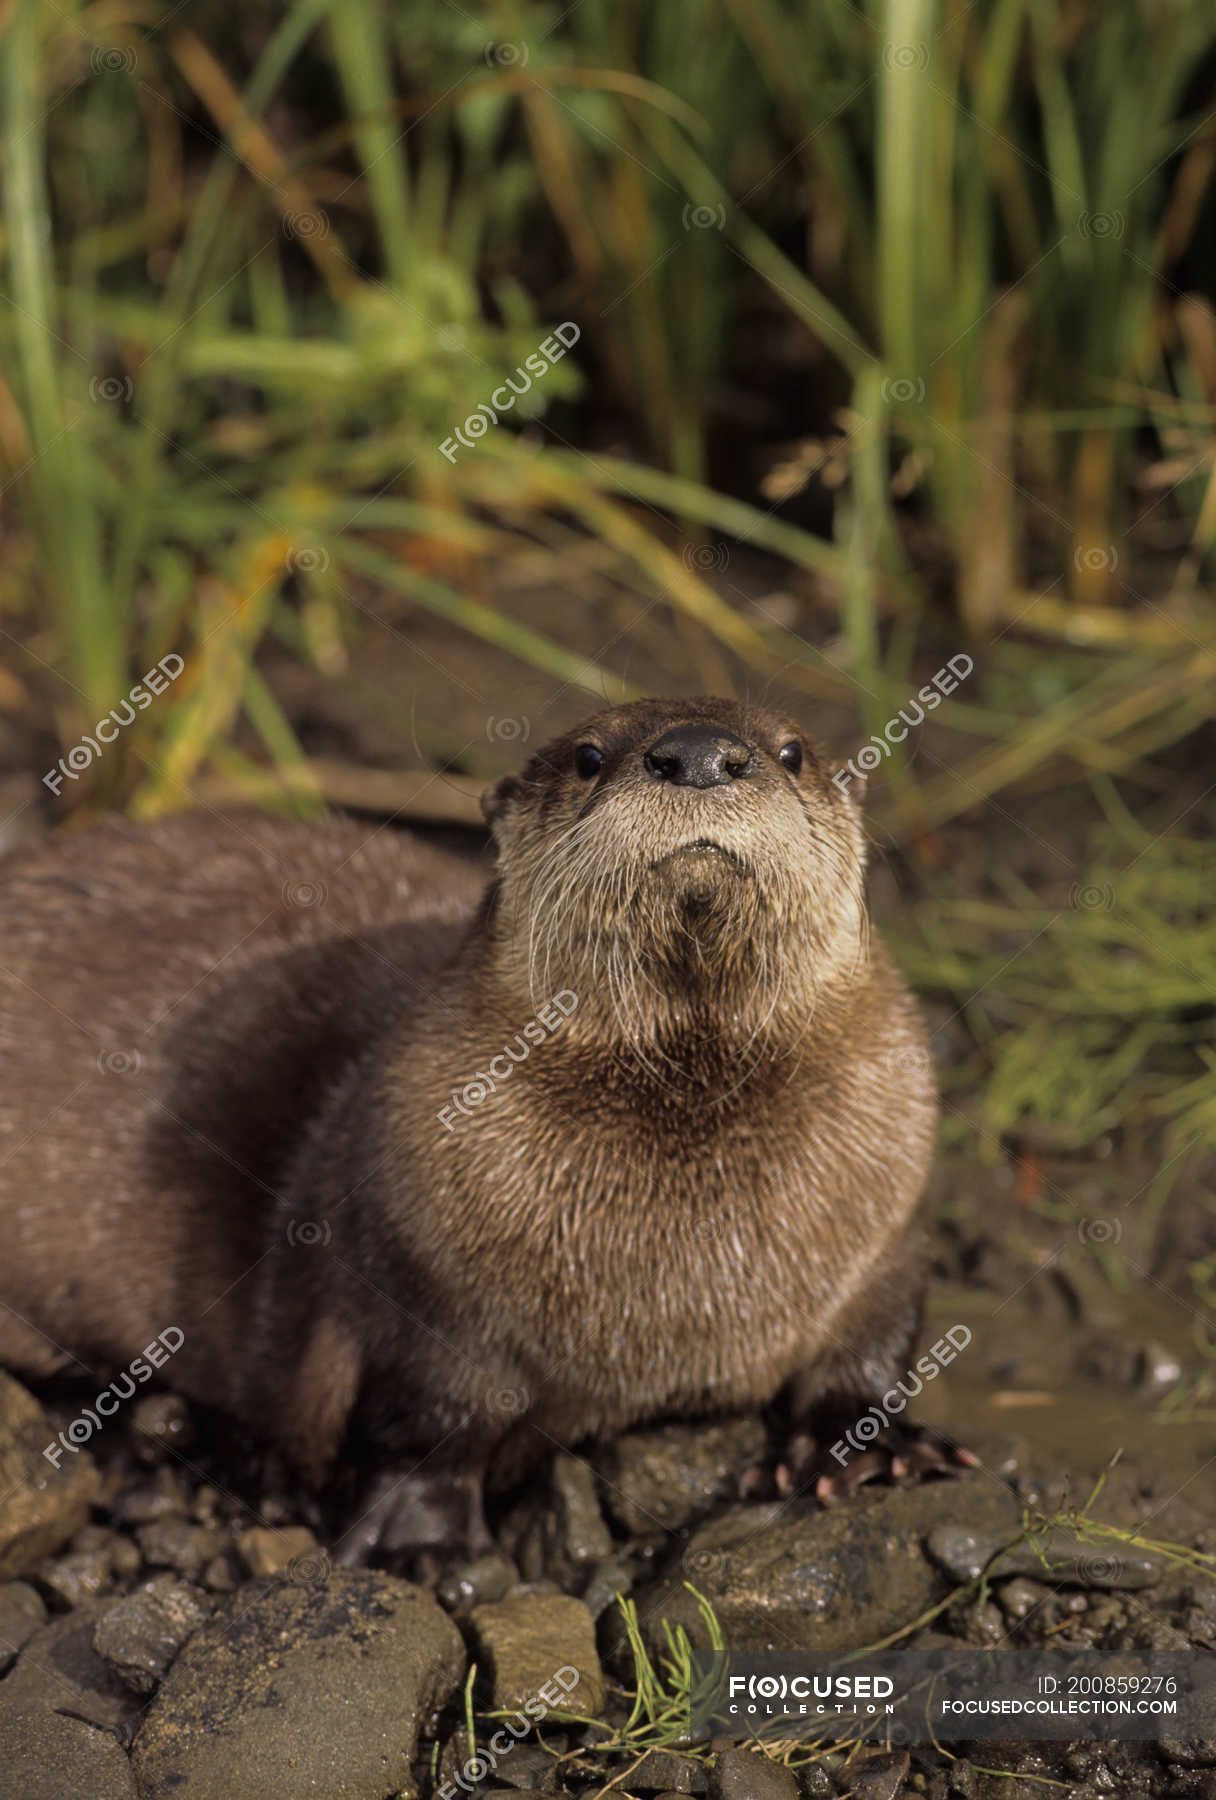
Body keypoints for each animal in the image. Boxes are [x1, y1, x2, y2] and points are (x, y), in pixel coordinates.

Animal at [0, 697, 937, 1557]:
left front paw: (863, 1447)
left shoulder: (884, 1233)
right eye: (589, 755)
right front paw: (415, 1534)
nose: (702, 755)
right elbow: (435, 1421)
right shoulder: (426, 1291)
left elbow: (873, 1341)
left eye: (792, 751)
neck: (670, 1297)